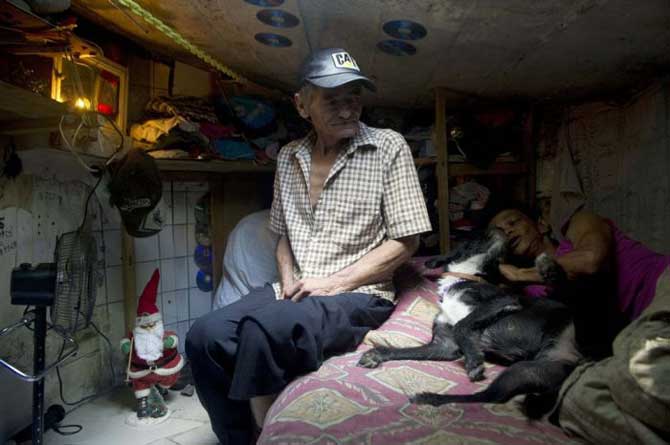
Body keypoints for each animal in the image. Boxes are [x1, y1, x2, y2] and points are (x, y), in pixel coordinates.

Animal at [356, 227, 584, 414]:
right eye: (477, 235)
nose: (501, 229)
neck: (464, 277)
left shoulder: (504, 300)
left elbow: (462, 324)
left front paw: (473, 359)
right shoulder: (443, 345)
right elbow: (406, 350)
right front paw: (377, 354)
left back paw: (549, 268)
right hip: (529, 370)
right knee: (488, 397)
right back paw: (431, 398)